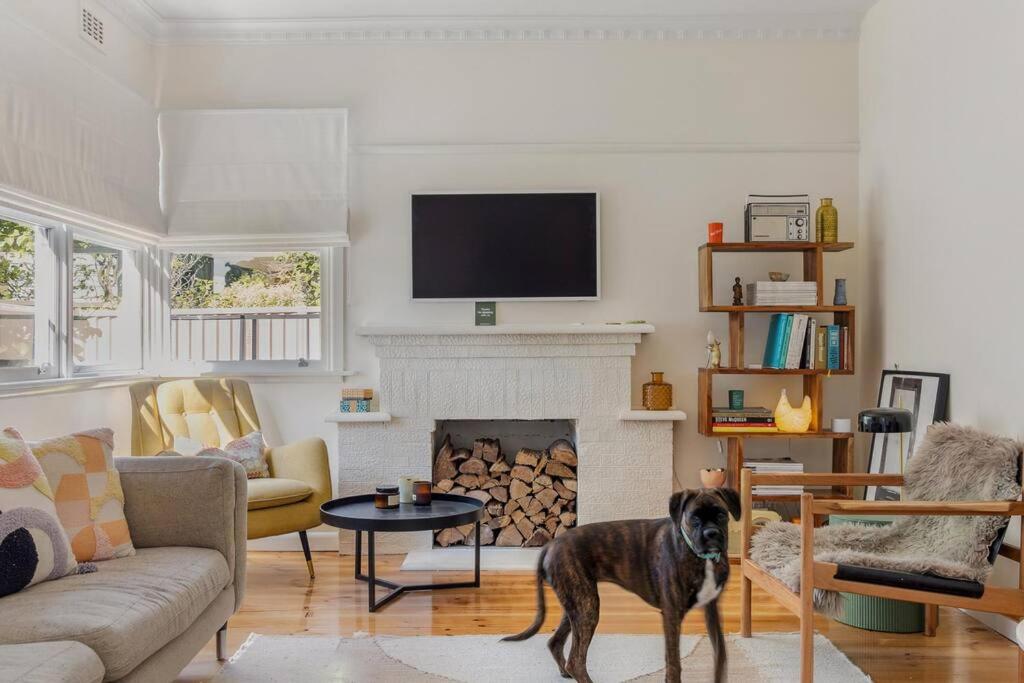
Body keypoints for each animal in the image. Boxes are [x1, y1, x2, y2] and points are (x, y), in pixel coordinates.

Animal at [501, 489, 737, 679]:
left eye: (721, 515)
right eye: (694, 518)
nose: (711, 534)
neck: (701, 558)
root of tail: (550, 545)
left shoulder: (711, 610)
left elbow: (721, 656)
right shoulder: (672, 616)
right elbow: (674, 664)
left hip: (576, 605)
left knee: (556, 643)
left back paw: (565, 673)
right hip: (587, 607)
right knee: (576, 661)